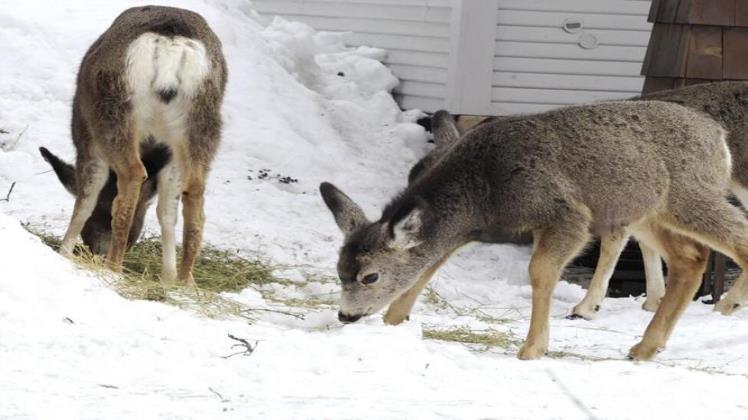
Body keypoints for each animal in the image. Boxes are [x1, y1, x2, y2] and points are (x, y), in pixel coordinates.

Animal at [50, 5, 227, 284]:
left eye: (98, 220)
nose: (97, 251)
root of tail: (170, 43)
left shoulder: (86, 137)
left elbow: (86, 198)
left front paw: (64, 251)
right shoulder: (169, 156)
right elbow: (167, 212)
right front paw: (168, 276)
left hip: (113, 112)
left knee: (132, 174)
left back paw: (113, 266)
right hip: (202, 123)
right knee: (195, 189)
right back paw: (186, 281)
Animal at [320, 100, 748, 361]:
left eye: (370, 276)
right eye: (339, 272)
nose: (345, 315)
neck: (482, 193)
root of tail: (718, 137)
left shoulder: (567, 214)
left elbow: (540, 273)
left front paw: (532, 349)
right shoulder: (463, 232)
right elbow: (426, 268)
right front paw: (394, 323)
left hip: (688, 194)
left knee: (737, 239)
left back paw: (728, 307)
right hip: (647, 211)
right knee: (690, 259)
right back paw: (646, 346)